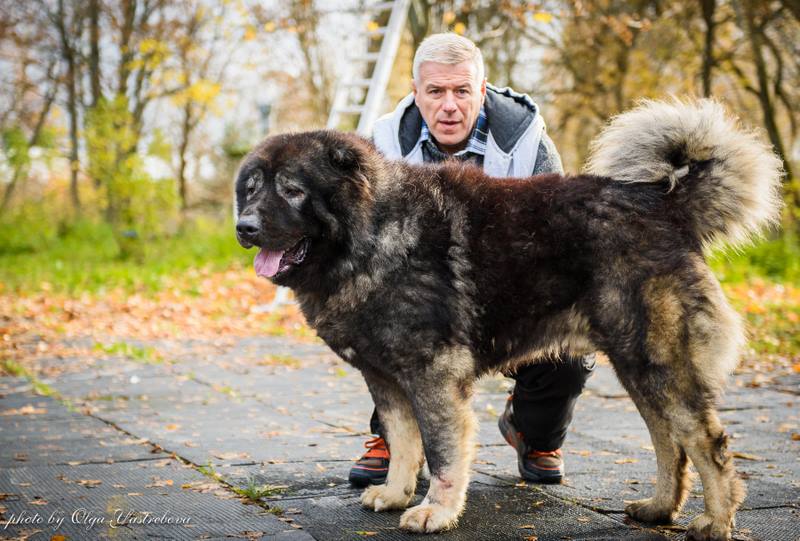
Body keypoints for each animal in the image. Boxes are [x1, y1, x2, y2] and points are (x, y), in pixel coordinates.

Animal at [233, 99, 780, 536]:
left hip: (657, 364)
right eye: (252, 188)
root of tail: (664, 203)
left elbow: (442, 451)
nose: (244, 226)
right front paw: (394, 493)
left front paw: (436, 511)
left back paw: (715, 521)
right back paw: (660, 508)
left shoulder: (433, 376)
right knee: (668, 440)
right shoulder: (386, 379)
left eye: (292, 190)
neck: (374, 233)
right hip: (637, 367)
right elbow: (404, 442)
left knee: (707, 443)